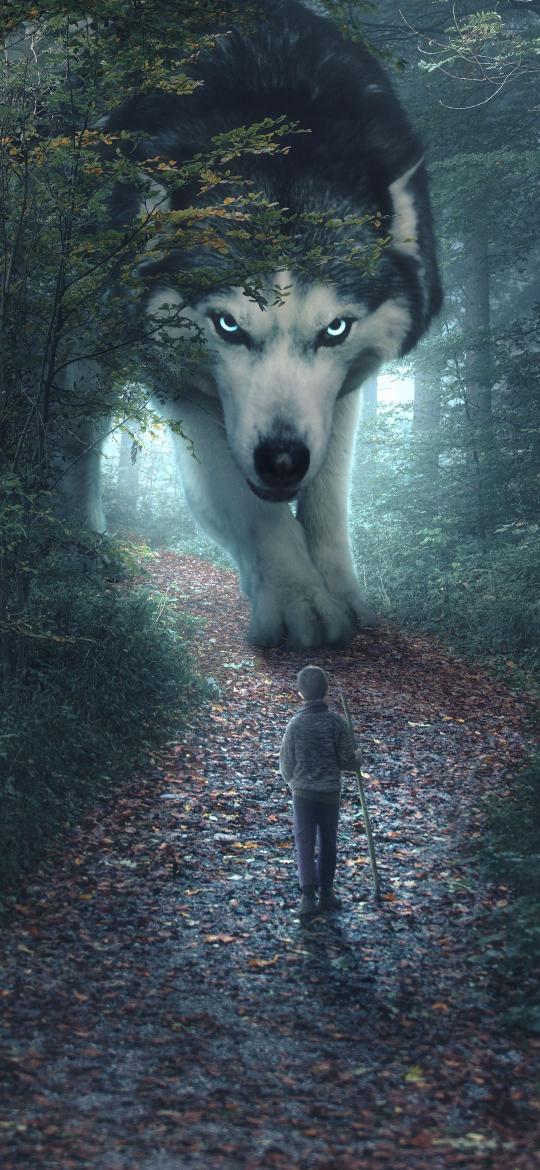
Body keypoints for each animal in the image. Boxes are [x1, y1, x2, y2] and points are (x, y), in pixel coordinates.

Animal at [57, 0, 441, 648]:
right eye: (229, 327)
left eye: (335, 330)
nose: (281, 460)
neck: (275, 103)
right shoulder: (180, 384)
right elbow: (247, 504)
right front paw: (297, 602)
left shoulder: (344, 392)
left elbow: (327, 499)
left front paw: (342, 595)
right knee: (78, 436)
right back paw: (83, 543)